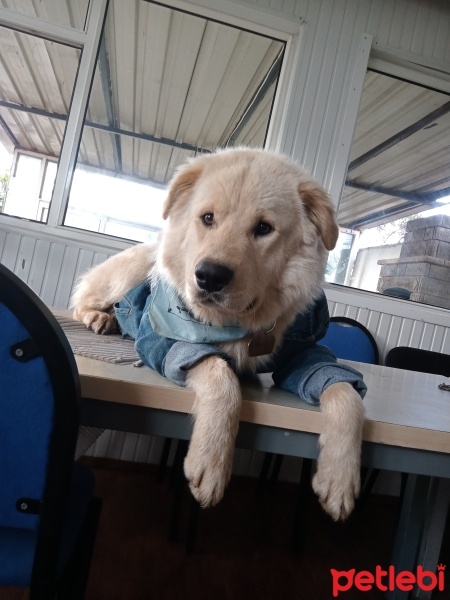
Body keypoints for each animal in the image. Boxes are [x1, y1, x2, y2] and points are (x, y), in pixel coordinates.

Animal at [71, 146, 366, 520]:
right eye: (208, 218)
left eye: (264, 228)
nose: (209, 276)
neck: (239, 322)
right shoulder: (165, 341)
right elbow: (221, 376)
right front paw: (211, 463)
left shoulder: (307, 352)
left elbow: (346, 393)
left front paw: (340, 477)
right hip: (134, 269)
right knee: (82, 300)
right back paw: (100, 318)